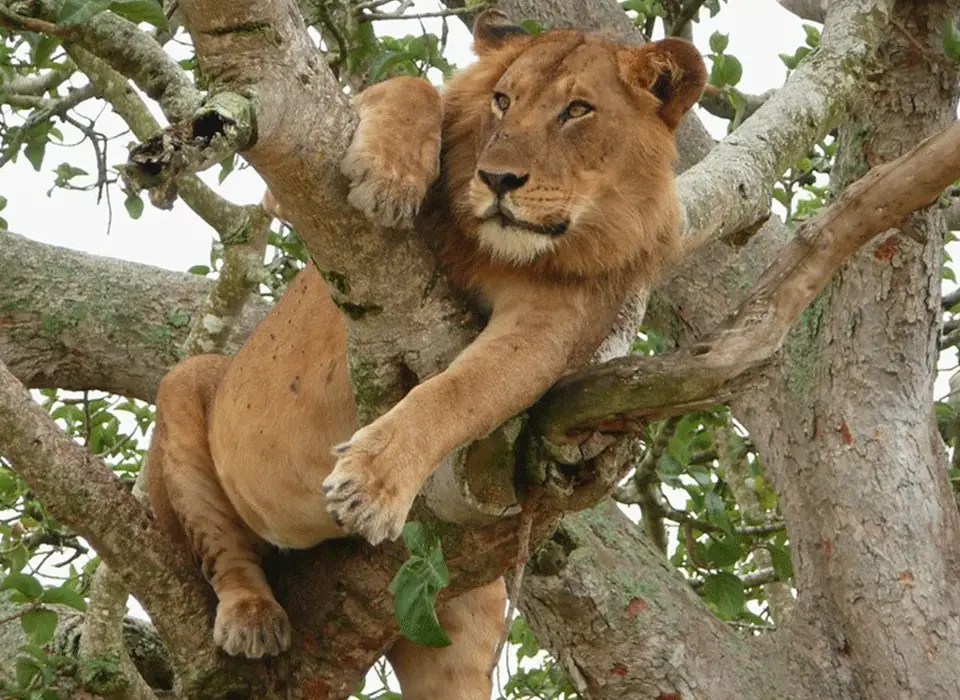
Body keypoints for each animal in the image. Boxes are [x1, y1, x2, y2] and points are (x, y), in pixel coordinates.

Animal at [146, 10, 705, 699]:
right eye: (503, 101)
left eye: (578, 110)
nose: (498, 180)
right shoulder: (286, 187)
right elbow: (416, 89)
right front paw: (390, 179)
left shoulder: (550, 327)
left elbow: (457, 392)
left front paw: (371, 482)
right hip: (186, 388)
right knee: (222, 547)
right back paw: (252, 618)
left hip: (457, 624)